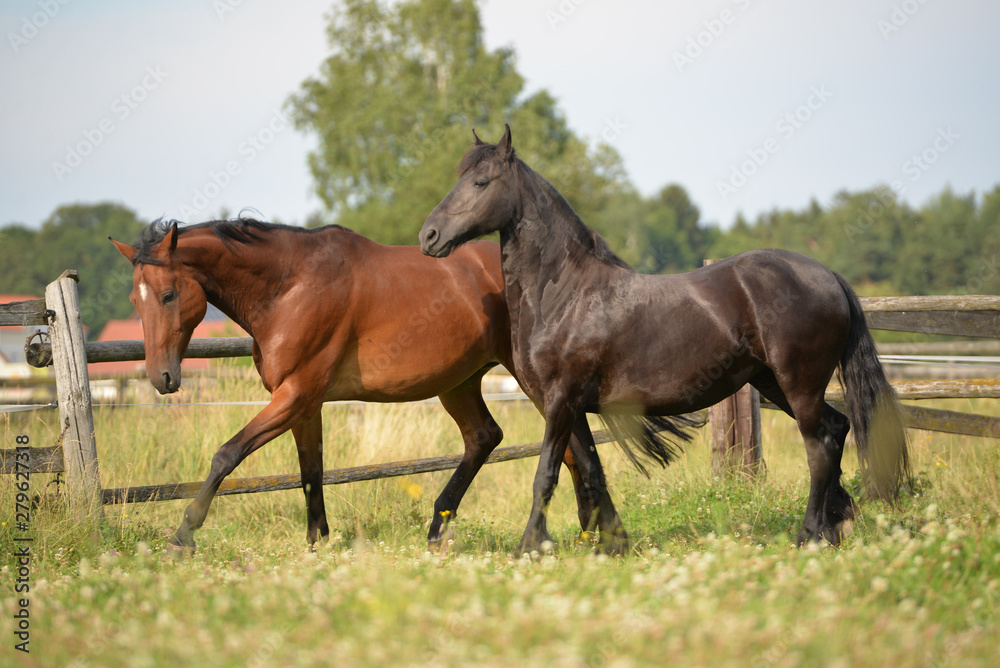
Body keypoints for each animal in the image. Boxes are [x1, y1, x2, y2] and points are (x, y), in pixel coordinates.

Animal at [109, 219, 624, 552]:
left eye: (168, 295)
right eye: (134, 299)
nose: (163, 378)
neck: (289, 287)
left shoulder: (294, 394)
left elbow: (227, 454)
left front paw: (183, 536)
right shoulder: (304, 402)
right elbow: (310, 469)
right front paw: (317, 540)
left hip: (526, 377)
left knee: (573, 445)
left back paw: (587, 534)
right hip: (459, 382)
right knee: (491, 438)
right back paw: (449, 527)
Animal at [418, 125, 912, 552]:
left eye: (481, 182)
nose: (429, 236)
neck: (565, 293)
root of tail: (827, 276)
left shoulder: (560, 399)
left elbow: (546, 474)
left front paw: (530, 547)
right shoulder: (571, 406)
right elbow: (592, 470)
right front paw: (613, 545)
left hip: (799, 385)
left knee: (819, 446)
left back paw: (810, 534)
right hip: (772, 383)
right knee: (838, 429)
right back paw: (834, 525)